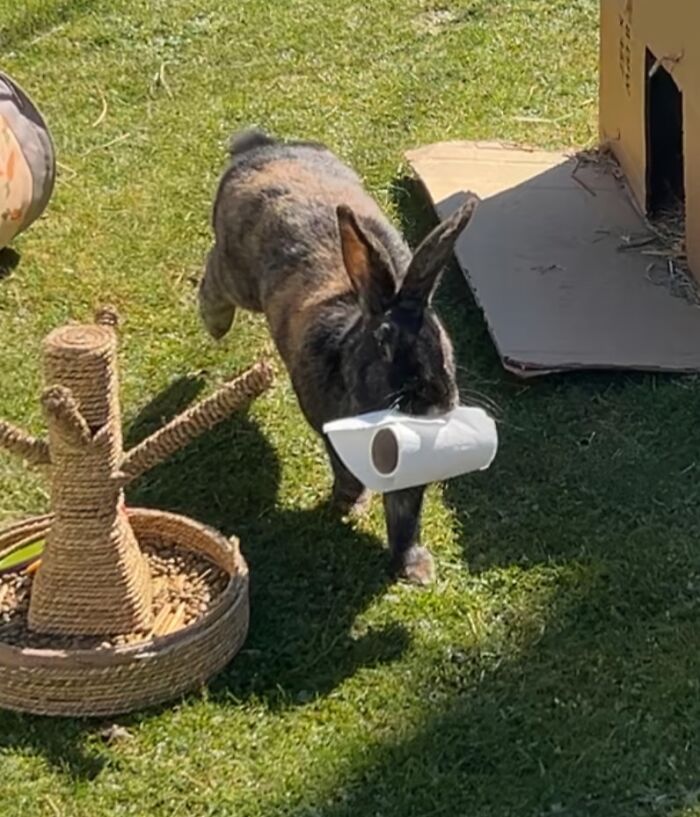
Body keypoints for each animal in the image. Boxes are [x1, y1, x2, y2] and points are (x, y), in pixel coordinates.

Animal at [198, 128, 478, 584]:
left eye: (442, 338)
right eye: (384, 342)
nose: (436, 402)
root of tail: (261, 147)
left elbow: (406, 515)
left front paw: (415, 569)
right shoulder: (333, 435)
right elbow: (349, 474)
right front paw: (349, 506)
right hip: (237, 272)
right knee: (214, 276)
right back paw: (214, 323)